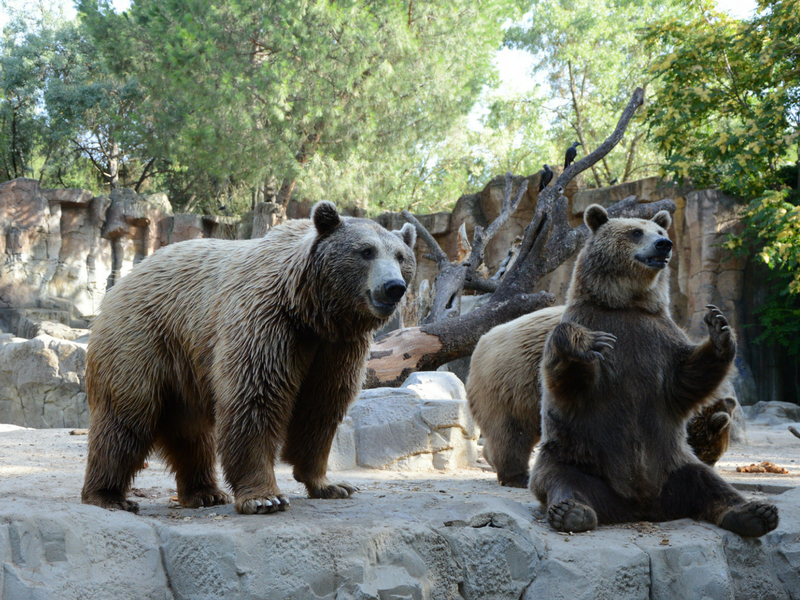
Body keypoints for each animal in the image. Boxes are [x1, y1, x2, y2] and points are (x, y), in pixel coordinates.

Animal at [82, 203, 418, 516]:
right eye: (366, 251)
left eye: (400, 256)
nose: (393, 287)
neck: (312, 309)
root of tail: (124, 280)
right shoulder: (267, 322)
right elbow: (256, 398)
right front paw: (265, 497)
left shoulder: (337, 348)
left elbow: (321, 407)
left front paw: (331, 484)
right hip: (142, 340)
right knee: (126, 419)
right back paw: (108, 495)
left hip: (185, 366)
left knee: (191, 432)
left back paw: (204, 492)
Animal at [528, 204, 780, 536]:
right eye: (636, 232)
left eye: (660, 231)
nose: (664, 245)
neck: (628, 305)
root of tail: (640, 506)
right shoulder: (596, 322)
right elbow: (570, 382)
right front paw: (584, 343)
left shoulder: (658, 338)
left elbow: (686, 378)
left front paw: (719, 328)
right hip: (576, 455)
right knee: (561, 479)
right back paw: (571, 512)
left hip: (675, 463)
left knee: (709, 483)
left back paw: (754, 513)